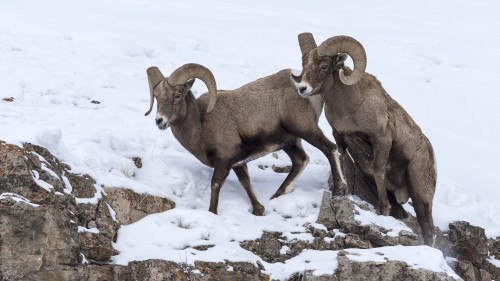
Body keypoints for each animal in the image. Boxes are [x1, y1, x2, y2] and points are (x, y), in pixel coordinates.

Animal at [146, 63, 346, 214]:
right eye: (157, 97)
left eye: (177, 95)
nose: (159, 120)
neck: (201, 122)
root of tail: (305, 88)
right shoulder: (238, 163)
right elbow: (246, 183)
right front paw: (259, 210)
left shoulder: (224, 160)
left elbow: (215, 184)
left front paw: (212, 212)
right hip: (290, 142)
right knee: (300, 160)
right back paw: (276, 196)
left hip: (306, 130)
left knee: (330, 149)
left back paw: (339, 190)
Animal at [292, 32, 436, 243]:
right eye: (304, 64)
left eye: (324, 66)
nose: (303, 88)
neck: (350, 107)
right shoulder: (339, 135)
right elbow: (342, 160)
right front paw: (340, 191)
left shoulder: (381, 139)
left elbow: (378, 171)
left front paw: (383, 209)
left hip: (420, 193)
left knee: (428, 230)